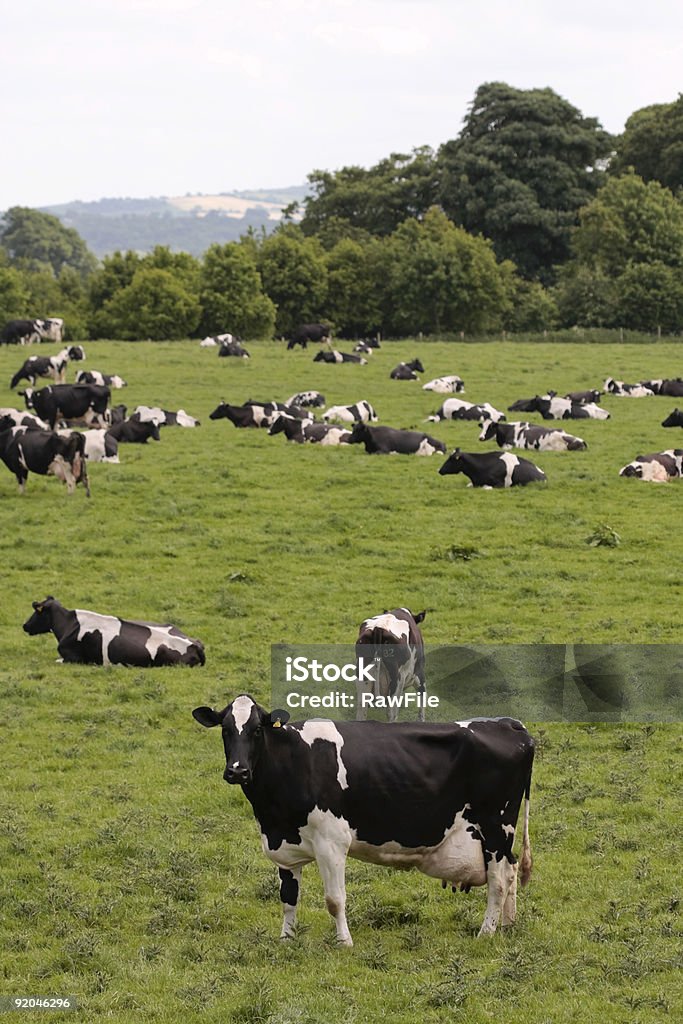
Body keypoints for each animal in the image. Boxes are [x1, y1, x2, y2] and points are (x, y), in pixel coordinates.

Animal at [191, 696, 532, 942]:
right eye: (225, 729)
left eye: (257, 730)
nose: (237, 771)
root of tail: (509, 724)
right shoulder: (284, 846)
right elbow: (288, 897)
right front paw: (286, 939)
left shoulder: (331, 842)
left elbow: (334, 899)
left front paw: (344, 942)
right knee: (511, 872)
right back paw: (508, 925)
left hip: (496, 827)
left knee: (498, 880)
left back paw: (486, 933)